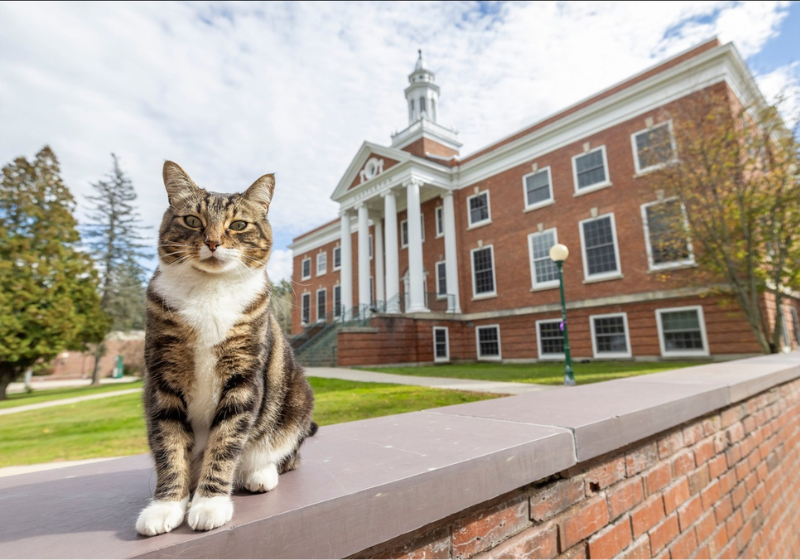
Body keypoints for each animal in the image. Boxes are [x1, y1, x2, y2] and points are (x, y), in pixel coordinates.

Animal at [136, 160, 314, 536]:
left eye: (239, 224)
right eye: (192, 220)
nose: (213, 242)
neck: (210, 291)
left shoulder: (243, 376)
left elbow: (226, 440)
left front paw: (209, 503)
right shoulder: (162, 378)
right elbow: (169, 445)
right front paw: (166, 506)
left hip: (297, 399)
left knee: (286, 454)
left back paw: (260, 473)